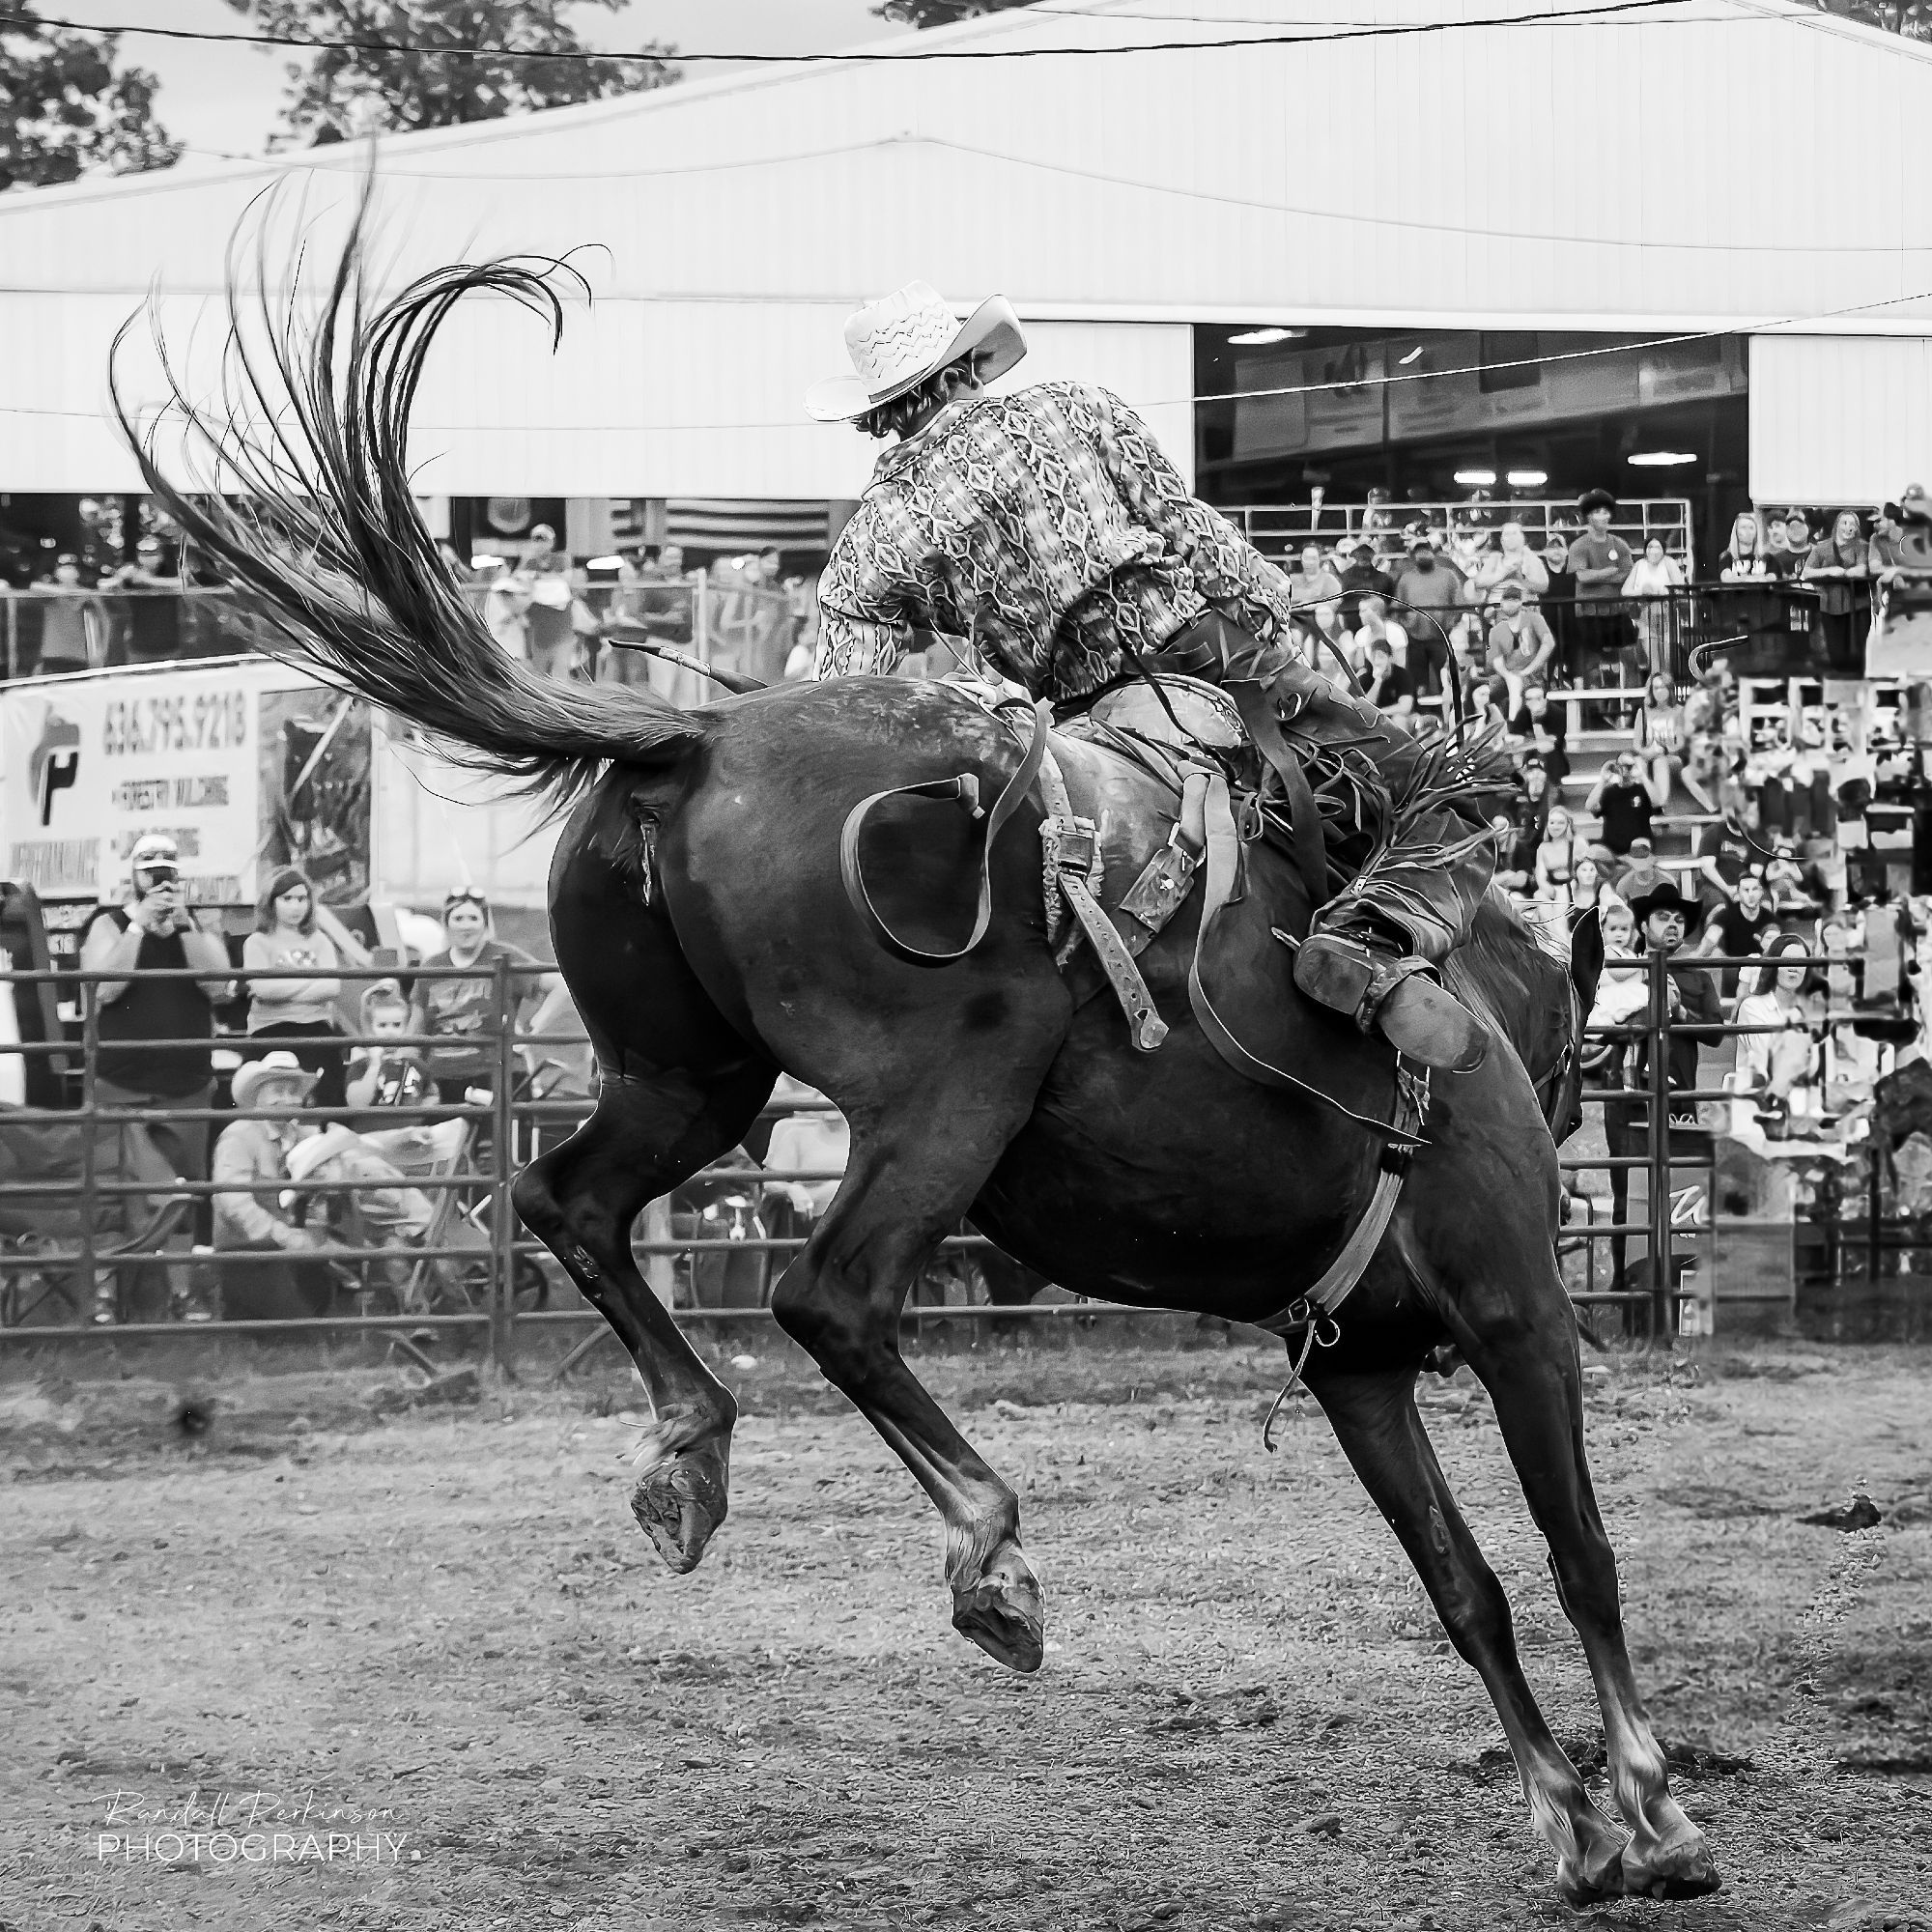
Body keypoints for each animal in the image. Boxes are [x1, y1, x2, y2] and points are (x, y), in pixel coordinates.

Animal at [121, 212, 1716, 1901]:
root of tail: (694, 737)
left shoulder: (1356, 1370)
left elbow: (1467, 1586)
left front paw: (1574, 1822)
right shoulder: (1521, 1313)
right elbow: (1580, 1554)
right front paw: (1654, 1814)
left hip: (691, 1080)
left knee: (572, 1203)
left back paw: (693, 1457)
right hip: (959, 1083)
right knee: (828, 1295)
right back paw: (990, 1557)